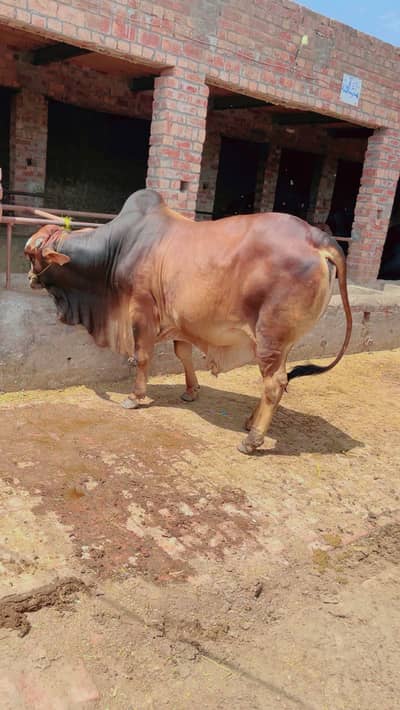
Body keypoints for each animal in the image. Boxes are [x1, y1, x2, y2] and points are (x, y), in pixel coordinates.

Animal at [24, 189, 352, 454]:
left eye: (30, 254)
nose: (29, 279)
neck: (118, 248)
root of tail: (317, 238)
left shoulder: (141, 311)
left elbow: (142, 357)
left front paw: (135, 396)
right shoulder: (180, 321)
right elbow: (183, 354)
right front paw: (191, 391)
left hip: (271, 336)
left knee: (274, 383)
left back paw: (252, 440)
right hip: (282, 342)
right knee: (279, 381)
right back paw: (250, 421)